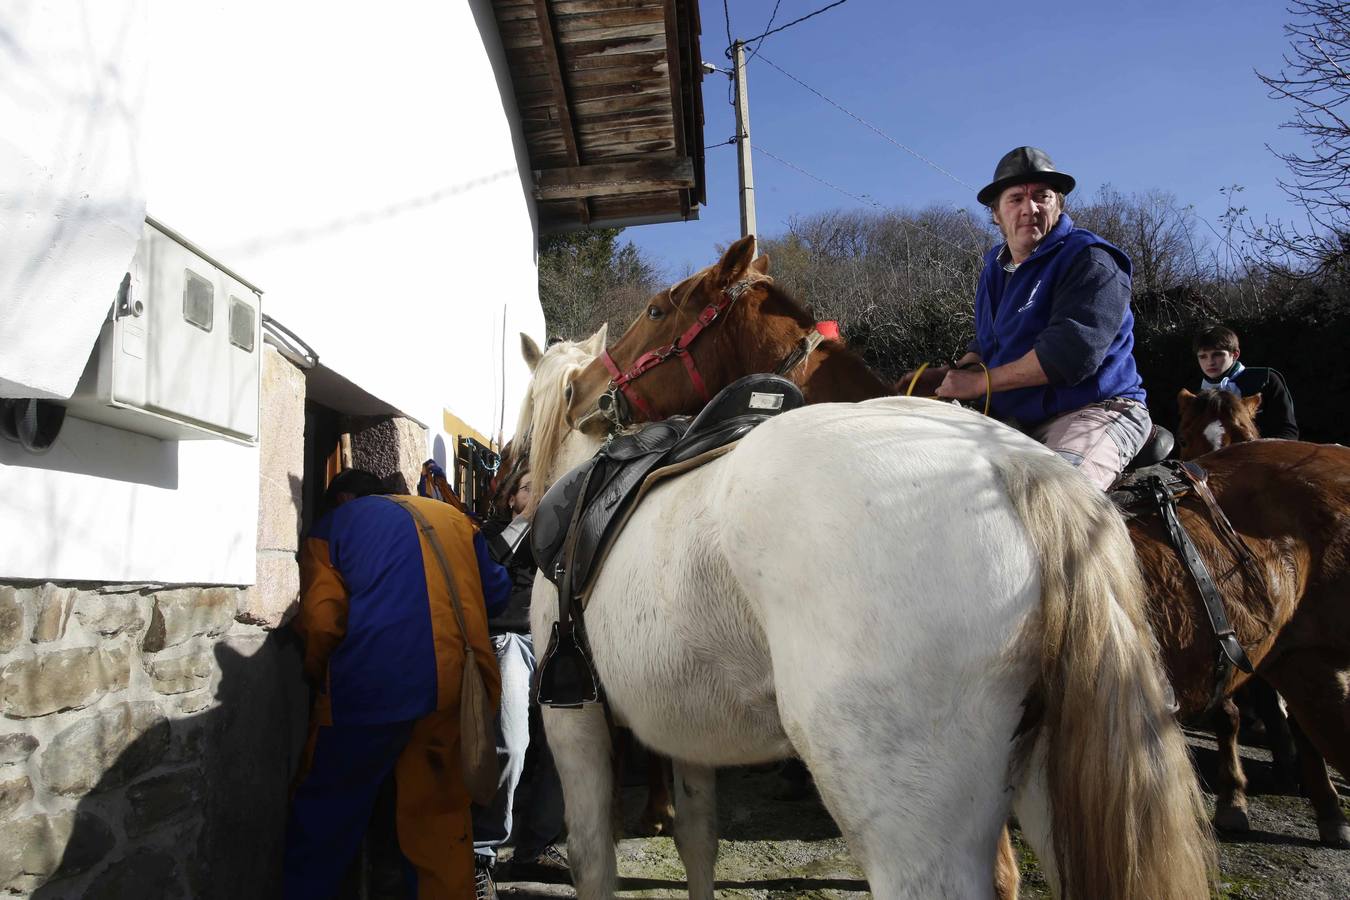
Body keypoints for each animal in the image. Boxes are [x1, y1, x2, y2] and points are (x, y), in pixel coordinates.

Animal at [515, 327, 1215, 895]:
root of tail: (1011, 466)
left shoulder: (572, 720)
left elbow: (593, 859)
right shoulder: (686, 732)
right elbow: (697, 843)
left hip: (911, 834)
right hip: (1059, 801)